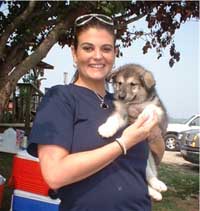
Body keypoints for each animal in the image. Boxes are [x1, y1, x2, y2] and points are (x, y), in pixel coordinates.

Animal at [99, 63, 168, 201]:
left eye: (133, 84)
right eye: (119, 83)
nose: (121, 96)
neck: (133, 103)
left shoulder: (159, 110)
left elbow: (150, 108)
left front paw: (144, 115)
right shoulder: (121, 113)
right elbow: (113, 119)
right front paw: (106, 129)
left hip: (149, 159)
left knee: (150, 174)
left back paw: (158, 185)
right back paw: (155, 192)